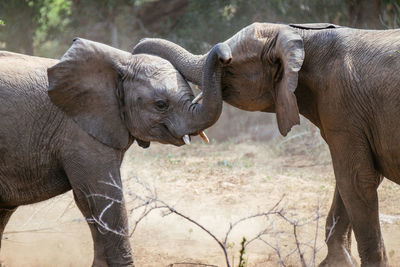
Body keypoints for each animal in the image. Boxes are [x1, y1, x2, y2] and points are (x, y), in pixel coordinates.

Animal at [0, 37, 231, 266]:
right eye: (161, 104)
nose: (226, 57)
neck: (121, 63)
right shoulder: (78, 132)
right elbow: (103, 196)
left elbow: (91, 204)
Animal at [133, 23, 400, 267]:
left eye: (229, 68)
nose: (223, 55)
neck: (300, 37)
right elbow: (351, 181)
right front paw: (337, 262)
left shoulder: (342, 109)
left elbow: (355, 179)